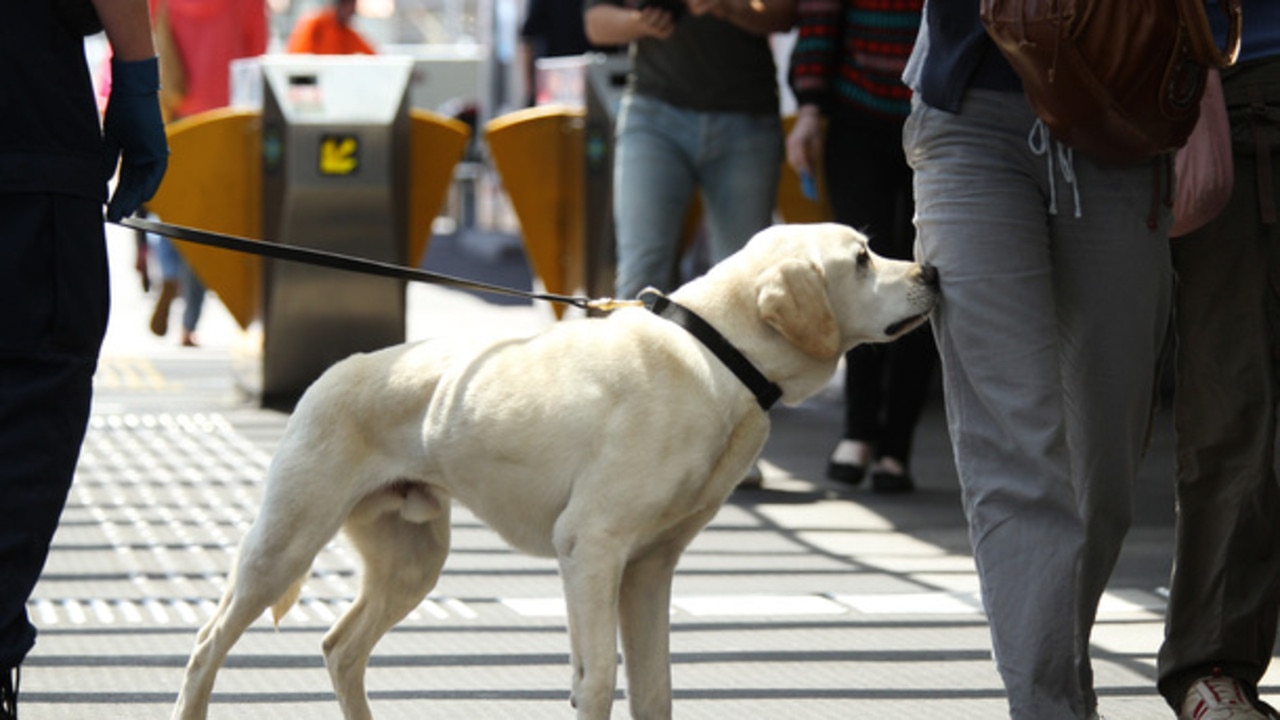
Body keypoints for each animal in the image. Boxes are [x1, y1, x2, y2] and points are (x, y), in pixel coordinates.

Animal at [170, 221, 942, 712]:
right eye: (863, 258)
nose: (932, 270)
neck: (717, 351)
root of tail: (336, 371)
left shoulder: (649, 569)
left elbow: (655, 688)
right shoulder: (591, 549)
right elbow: (596, 682)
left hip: (412, 561)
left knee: (340, 649)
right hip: (284, 547)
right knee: (206, 646)